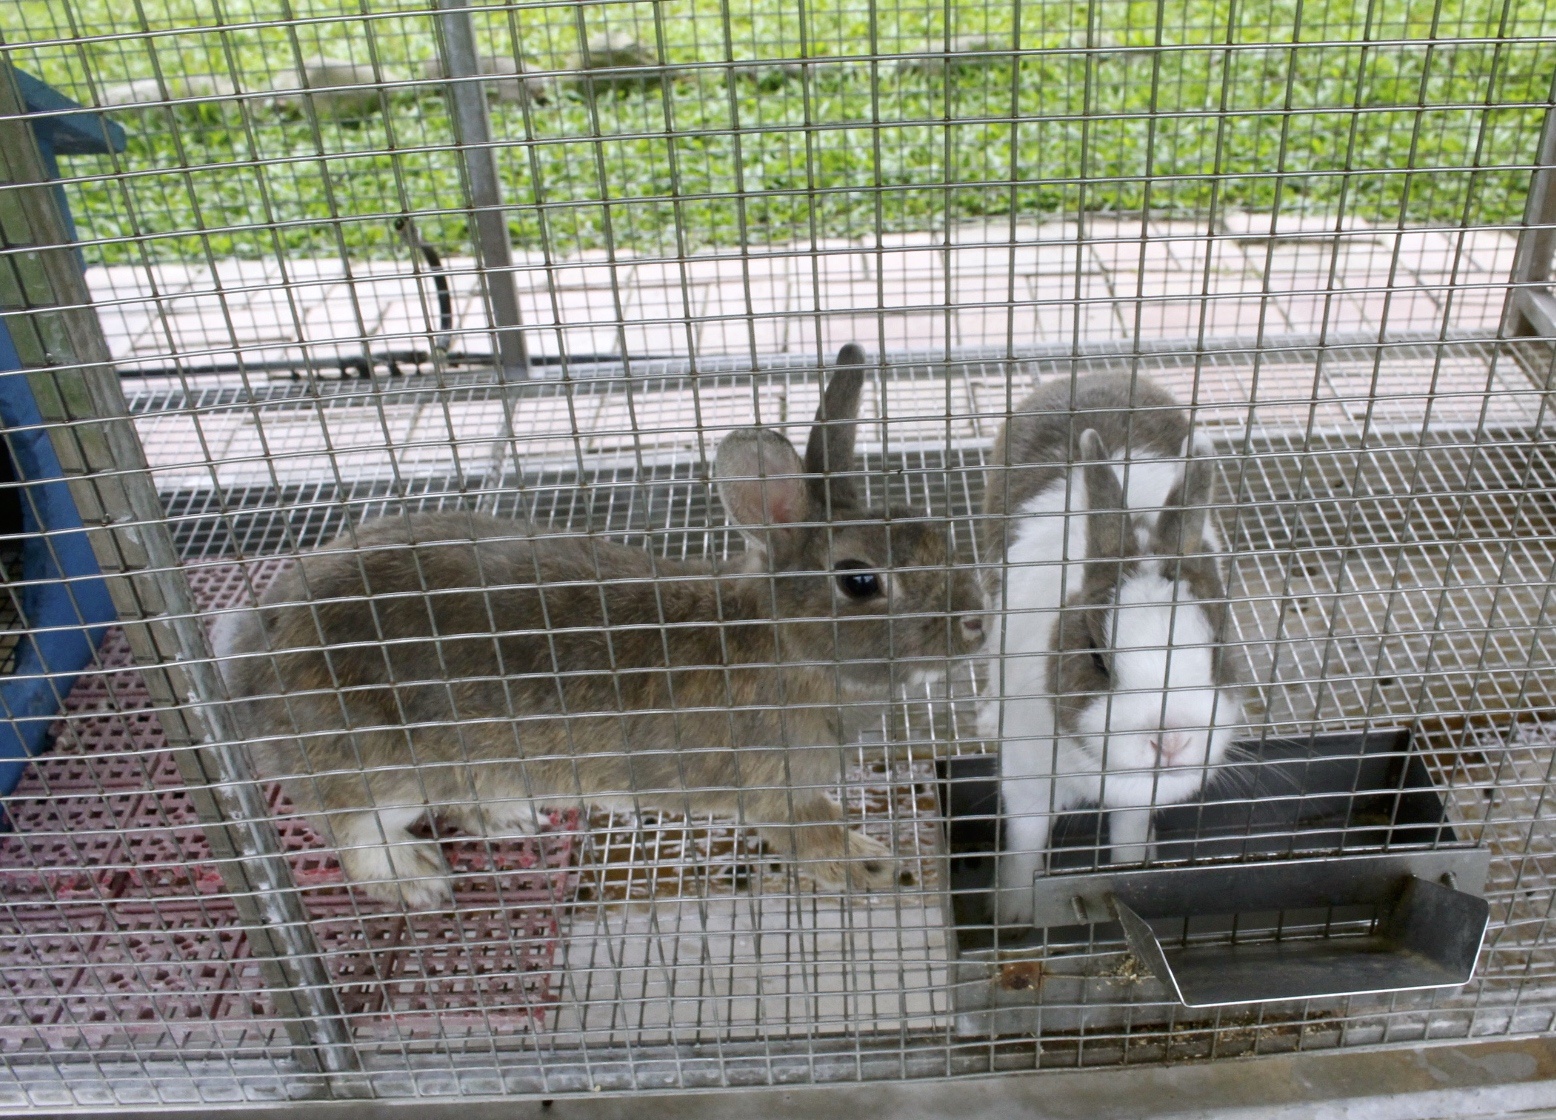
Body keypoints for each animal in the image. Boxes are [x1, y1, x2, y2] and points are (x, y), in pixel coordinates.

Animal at [210, 343, 983, 908]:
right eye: (860, 581)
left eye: (934, 533)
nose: (976, 623)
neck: (786, 646)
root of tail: (248, 655)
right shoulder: (772, 789)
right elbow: (809, 836)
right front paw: (872, 865)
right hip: (377, 770)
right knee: (352, 835)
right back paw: (420, 881)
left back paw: (510, 820)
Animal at [977, 371, 1244, 920]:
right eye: (1097, 658)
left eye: (1217, 647)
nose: (1171, 741)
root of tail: (1098, 375)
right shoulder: (1027, 780)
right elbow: (1026, 844)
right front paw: (1012, 914)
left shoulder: (1138, 801)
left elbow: (1127, 836)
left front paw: (1134, 870)